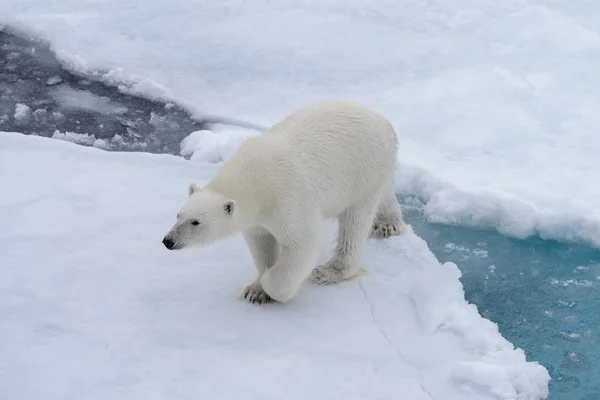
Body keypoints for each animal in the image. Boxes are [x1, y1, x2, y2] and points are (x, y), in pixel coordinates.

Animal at [163, 99, 404, 304]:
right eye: (178, 215)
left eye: (196, 222)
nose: (168, 241)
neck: (254, 180)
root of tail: (383, 121)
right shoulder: (257, 218)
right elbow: (261, 242)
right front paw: (255, 290)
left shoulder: (289, 199)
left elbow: (304, 242)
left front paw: (277, 289)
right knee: (384, 194)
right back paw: (387, 223)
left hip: (363, 171)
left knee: (355, 222)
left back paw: (330, 270)